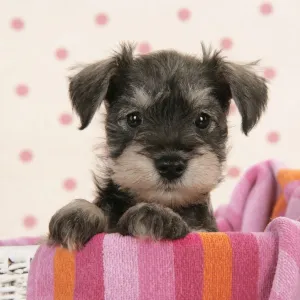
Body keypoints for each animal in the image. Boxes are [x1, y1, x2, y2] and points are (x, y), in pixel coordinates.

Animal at [48, 42, 268, 251]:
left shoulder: (205, 232)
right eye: (134, 118)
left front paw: (154, 213)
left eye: (202, 120)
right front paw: (78, 213)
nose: (170, 165)